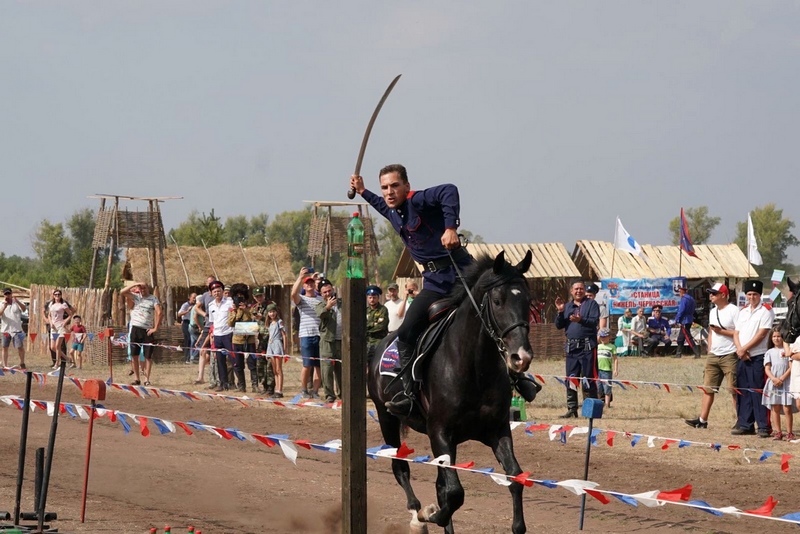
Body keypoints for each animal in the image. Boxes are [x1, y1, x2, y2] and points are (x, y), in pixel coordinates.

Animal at [368, 252, 532, 534]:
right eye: (498, 301)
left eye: (527, 300)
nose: (521, 357)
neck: (474, 368)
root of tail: (379, 345)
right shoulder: (440, 433)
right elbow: (454, 493)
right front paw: (431, 515)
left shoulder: (497, 431)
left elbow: (514, 477)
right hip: (386, 417)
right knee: (400, 467)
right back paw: (417, 514)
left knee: (439, 483)